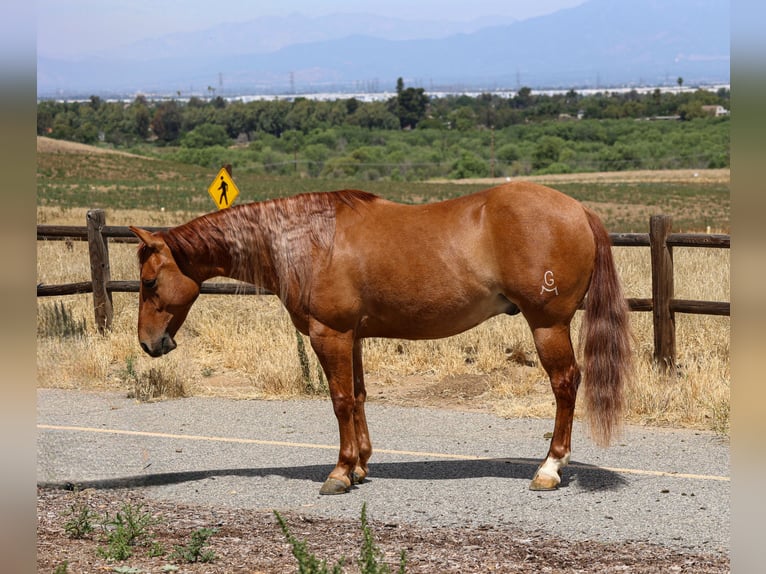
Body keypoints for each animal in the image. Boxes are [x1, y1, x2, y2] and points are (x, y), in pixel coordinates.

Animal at [130, 181, 632, 494]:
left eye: (150, 281)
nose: (148, 343)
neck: (306, 239)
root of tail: (578, 209)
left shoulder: (329, 335)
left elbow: (339, 401)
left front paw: (339, 472)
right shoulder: (351, 336)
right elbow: (358, 397)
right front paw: (360, 465)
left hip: (547, 325)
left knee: (565, 384)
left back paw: (550, 467)